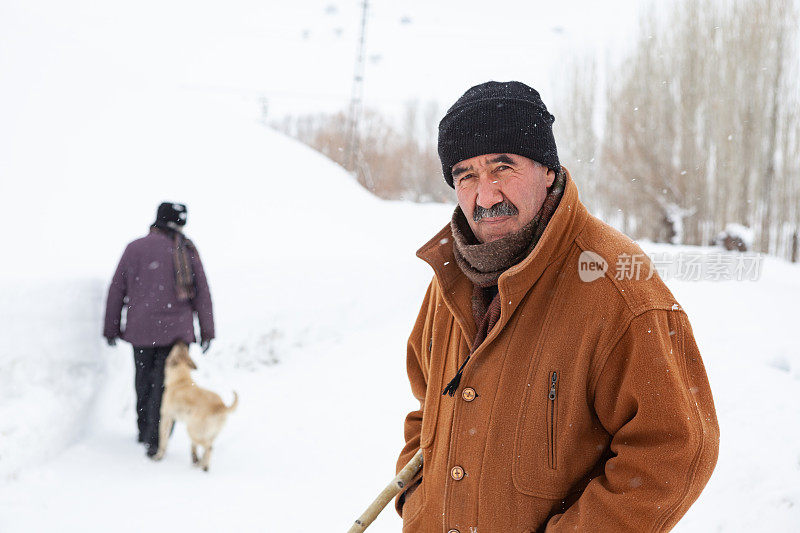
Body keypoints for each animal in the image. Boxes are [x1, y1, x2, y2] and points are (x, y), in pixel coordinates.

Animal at [155, 340, 238, 470]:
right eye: (184, 349)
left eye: (175, 349)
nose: (180, 340)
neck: (181, 379)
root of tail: (221, 406)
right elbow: (192, 446)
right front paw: (194, 458)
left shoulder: (166, 417)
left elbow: (163, 440)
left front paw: (159, 456)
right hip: (209, 433)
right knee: (207, 446)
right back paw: (200, 463)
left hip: (192, 429)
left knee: (208, 447)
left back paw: (204, 466)